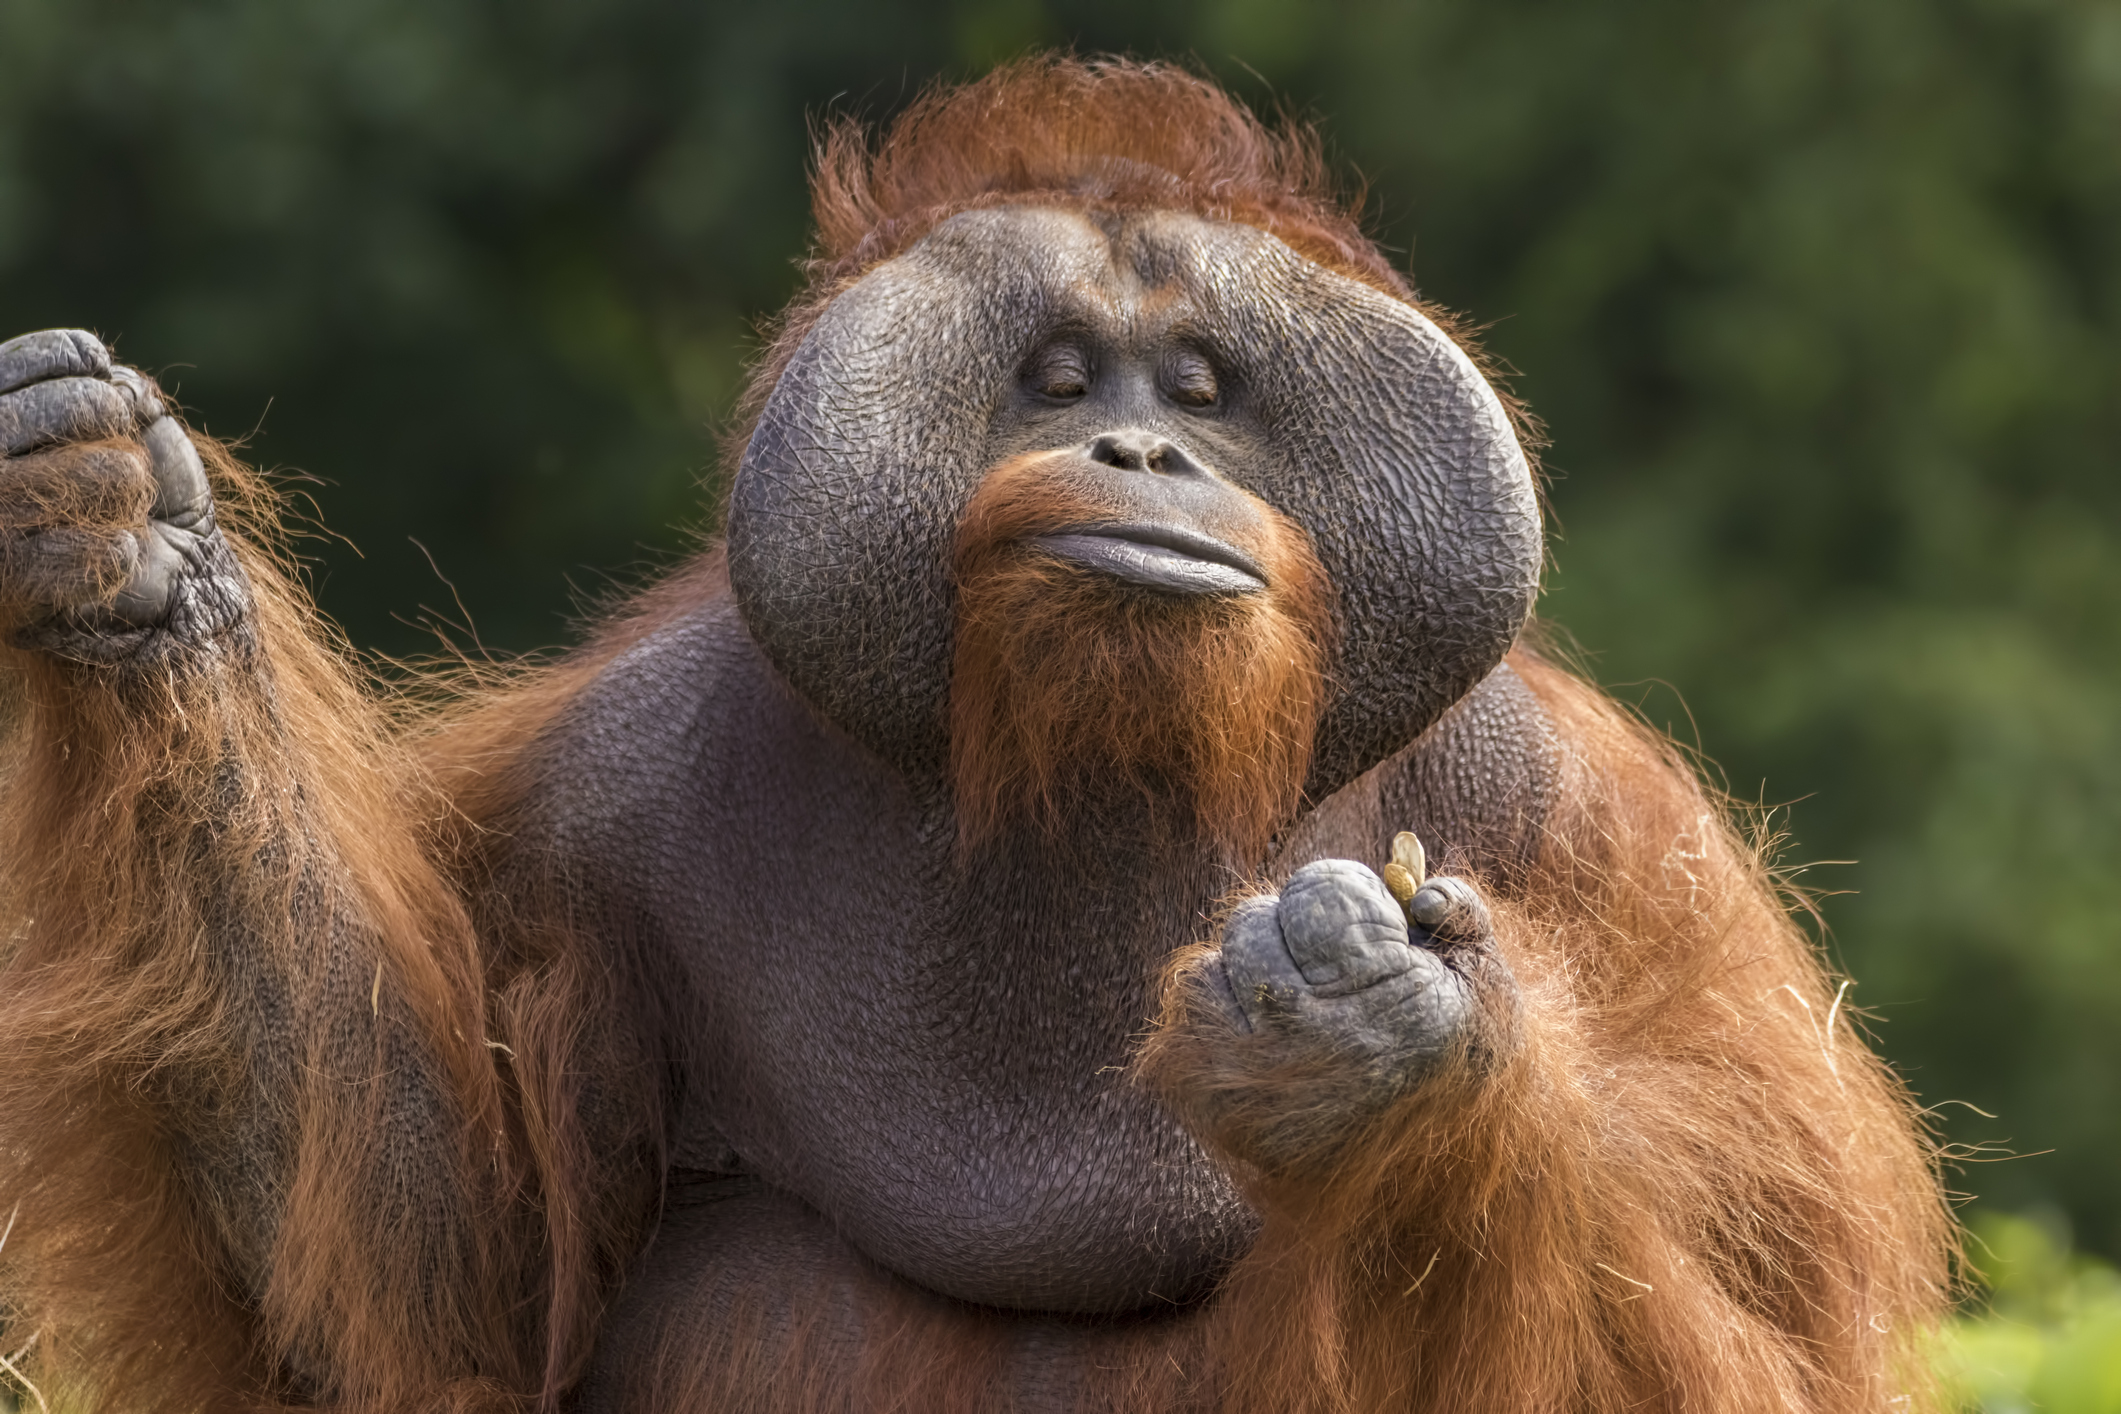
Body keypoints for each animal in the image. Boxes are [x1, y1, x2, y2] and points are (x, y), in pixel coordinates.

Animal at [0, 58, 1951, 1414]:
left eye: (1203, 390)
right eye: (1060, 379)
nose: (1138, 447)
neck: (1104, 775)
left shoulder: (1601, 828)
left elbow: (1753, 1341)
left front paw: (1386, 1043)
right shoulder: (598, 789)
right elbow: (424, 1293)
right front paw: (117, 532)